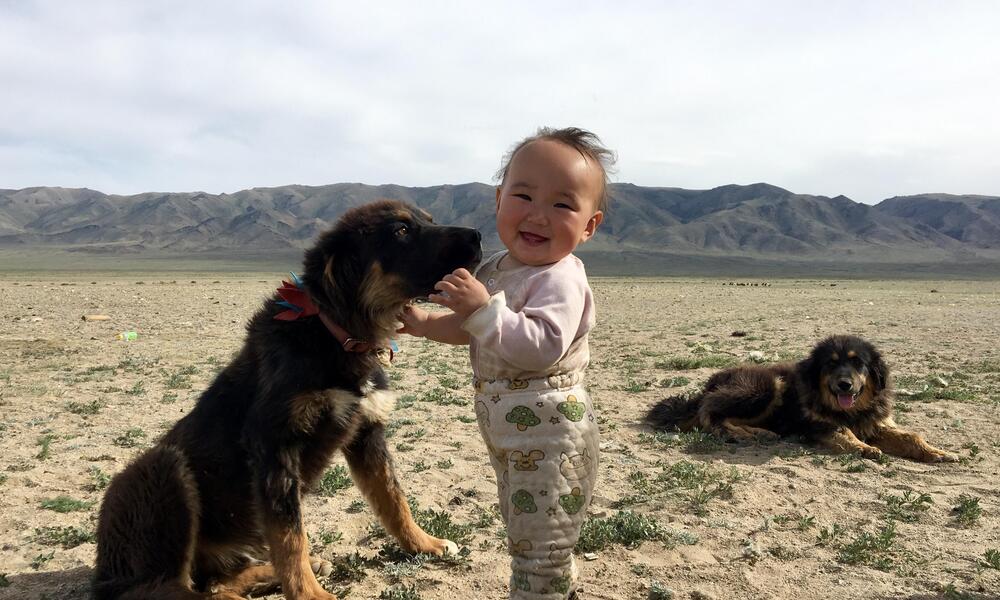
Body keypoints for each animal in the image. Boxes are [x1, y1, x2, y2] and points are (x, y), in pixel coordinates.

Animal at [93, 200, 480, 600]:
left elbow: (393, 498)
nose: (478, 236)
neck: (336, 334)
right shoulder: (275, 446)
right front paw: (311, 594)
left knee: (213, 582)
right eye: (401, 231)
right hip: (160, 469)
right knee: (171, 587)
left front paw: (426, 544)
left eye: (428, 221)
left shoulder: (366, 432)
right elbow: (291, 535)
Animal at [644, 336, 956, 462]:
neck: (851, 410)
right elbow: (842, 432)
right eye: (831, 363)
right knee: (711, 414)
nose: (844, 385)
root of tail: (711, 381)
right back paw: (747, 434)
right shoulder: (818, 426)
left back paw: (759, 432)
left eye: (859, 363)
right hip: (766, 386)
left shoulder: (875, 423)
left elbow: (910, 436)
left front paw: (938, 452)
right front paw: (863, 448)